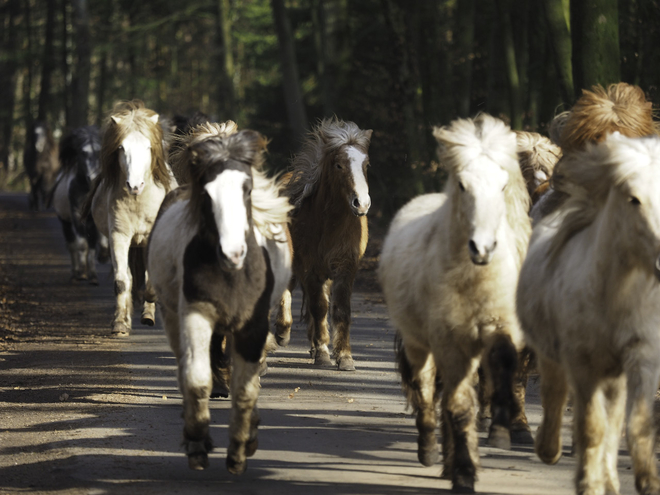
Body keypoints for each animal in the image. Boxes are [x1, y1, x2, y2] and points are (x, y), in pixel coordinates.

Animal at [87, 101, 177, 338]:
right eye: (121, 148)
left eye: (148, 147)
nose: (134, 186)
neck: (138, 201)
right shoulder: (118, 236)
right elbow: (121, 281)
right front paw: (119, 323)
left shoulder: (150, 237)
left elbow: (149, 279)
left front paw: (149, 306)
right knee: (127, 276)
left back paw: (148, 314)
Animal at [150, 130, 294, 474]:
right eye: (207, 193)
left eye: (247, 188)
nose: (233, 253)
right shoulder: (196, 316)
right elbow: (197, 377)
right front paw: (197, 443)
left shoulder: (252, 325)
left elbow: (245, 387)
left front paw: (241, 448)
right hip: (175, 318)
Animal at [276, 118, 374, 370]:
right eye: (339, 165)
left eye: (366, 164)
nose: (362, 204)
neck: (331, 224)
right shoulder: (310, 269)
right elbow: (319, 307)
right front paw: (322, 353)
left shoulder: (346, 268)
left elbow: (340, 309)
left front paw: (345, 357)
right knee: (289, 291)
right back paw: (283, 333)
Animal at [378, 113, 528, 495]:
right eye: (462, 185)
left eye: (503, 186)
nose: (483, 248)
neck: (472, 279)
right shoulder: (450, 344)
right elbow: (458, 408)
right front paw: (463, 474)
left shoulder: (497, 326)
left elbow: (504, 361)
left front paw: (502, 425)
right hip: (420, 345)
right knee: (426, 392)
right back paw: (431, 452)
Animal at [520, 132, 660, 495]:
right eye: (633, 199)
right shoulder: (582, 362)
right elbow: (591, 424)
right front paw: (587, 481)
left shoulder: (640, 356)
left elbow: (635, 422)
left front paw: (647, 481)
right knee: (556, 393)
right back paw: (547, 446)